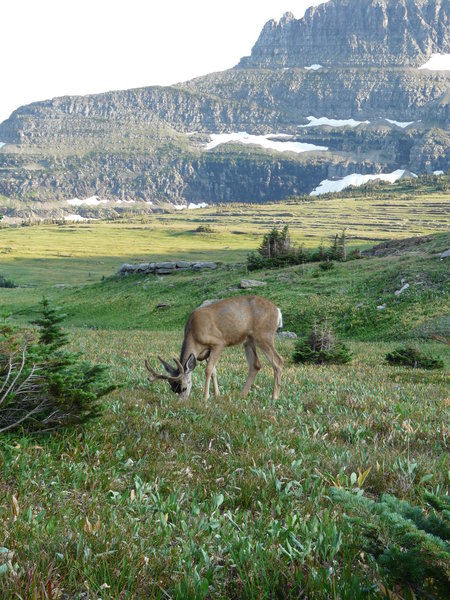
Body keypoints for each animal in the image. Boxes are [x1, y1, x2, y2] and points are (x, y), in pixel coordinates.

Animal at [146, 294, 284, 398]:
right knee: (256, 365)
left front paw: (206, 397)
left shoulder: (218, 342)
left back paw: (274, 397)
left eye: (184, 388)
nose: (181, 402)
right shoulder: (206, 352)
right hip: (248, 340)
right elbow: (213, 371)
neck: (193, 334)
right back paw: (241, 395)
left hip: (263, 335)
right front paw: (217, 395)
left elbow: (208, 370)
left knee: (278, 361)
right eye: (173, 389)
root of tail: (277, 310)